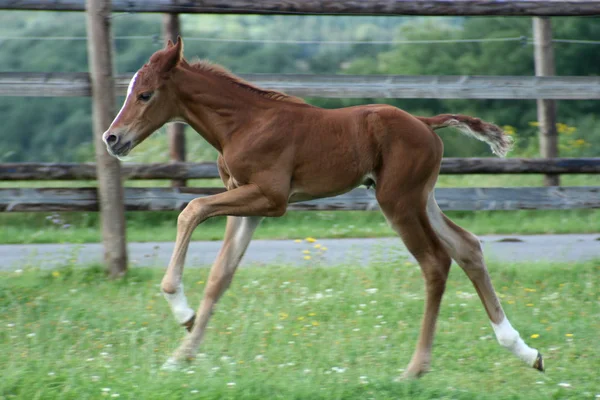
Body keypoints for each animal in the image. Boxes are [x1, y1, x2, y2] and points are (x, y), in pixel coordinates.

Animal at [103, 38, 544, 378]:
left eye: (145, 94)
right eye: (128, 92)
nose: (112, 138)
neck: (243, 123)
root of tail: (424, 121)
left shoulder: (271, 198)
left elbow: (191, 209)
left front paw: (180, 309)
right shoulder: (250, 205)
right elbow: (220, 276)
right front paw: (181, 355)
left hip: (397, 200)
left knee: (436, 262)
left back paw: (415, 369)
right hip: (422, 197)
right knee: (467, 246)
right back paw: (525, 351)